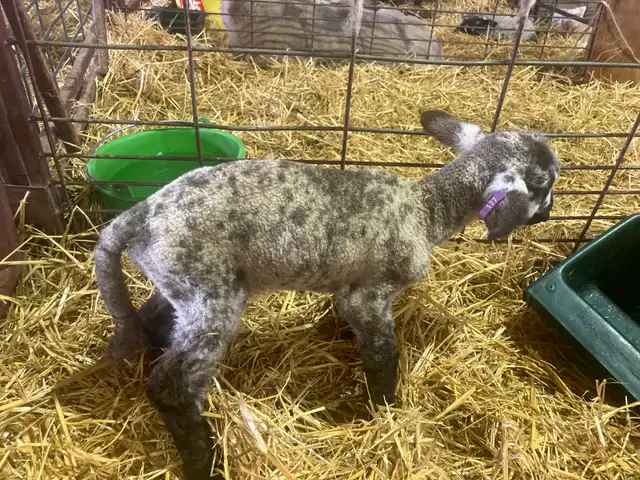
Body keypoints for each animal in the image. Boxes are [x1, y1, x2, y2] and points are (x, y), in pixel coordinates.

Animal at [94, 110, 560, 479]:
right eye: (545, 184)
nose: (551, 214)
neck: (427, 210)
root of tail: (136, 218)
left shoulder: (348, 287)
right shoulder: (372, 294)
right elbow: (381, 358)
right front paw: (385, 409)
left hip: (181, 285)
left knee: (153, 322)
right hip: (210, 292)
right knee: (171, 386)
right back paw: (203, 462)